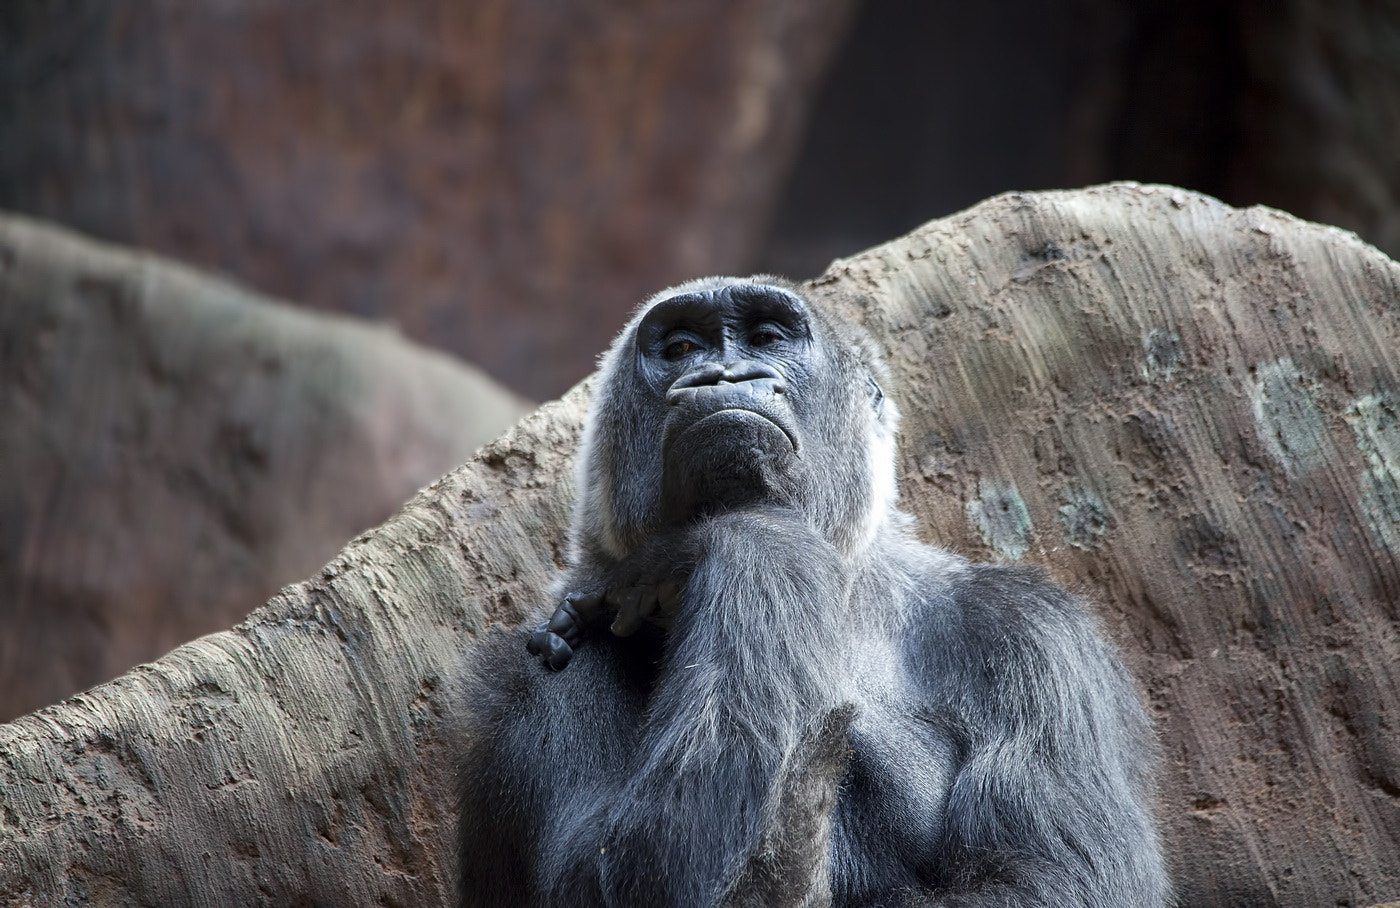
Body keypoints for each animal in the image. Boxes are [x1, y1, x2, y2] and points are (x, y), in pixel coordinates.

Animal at [456, 276, 1168, 907]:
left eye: (768, 338)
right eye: (682, 348)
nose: (724, 377)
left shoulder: (1033, 633)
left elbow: (1053, 881)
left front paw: (712, 548)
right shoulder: (539, 668)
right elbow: (621, 877)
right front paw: (756, 539)